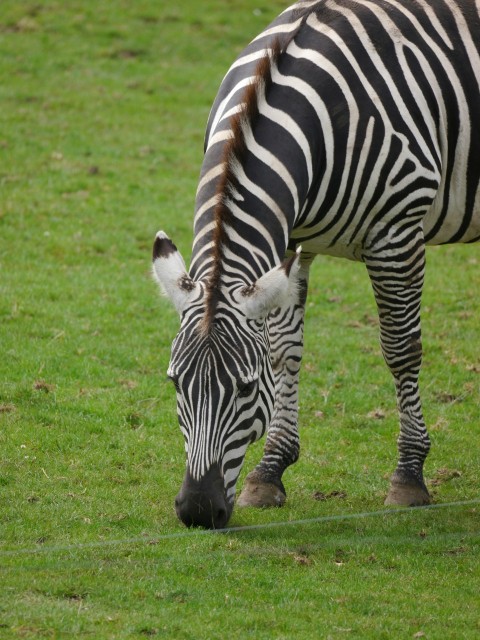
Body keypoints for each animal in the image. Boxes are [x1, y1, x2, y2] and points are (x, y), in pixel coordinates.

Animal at [152, 0, 479, 528]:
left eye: (246, 389)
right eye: (174, 383)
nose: (198, 511)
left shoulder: (397, 233)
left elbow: (401, 350)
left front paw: (409, 475)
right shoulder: (288, 242)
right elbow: (285, 351)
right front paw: (270, 472)